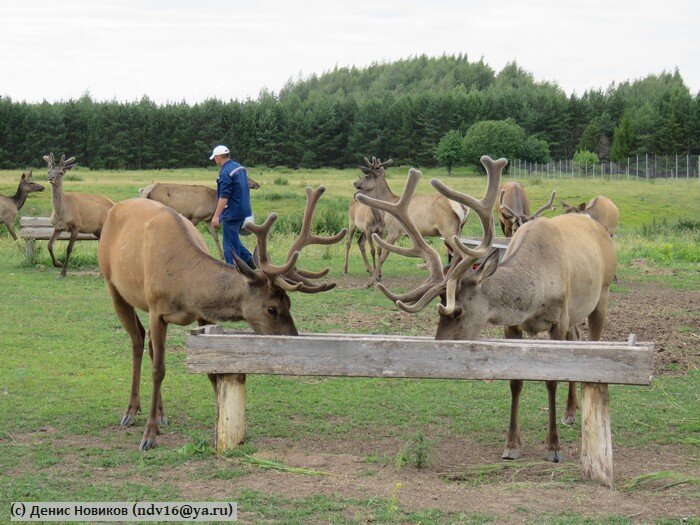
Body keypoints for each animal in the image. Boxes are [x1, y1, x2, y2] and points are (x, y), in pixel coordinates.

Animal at [99, 186, 348, 448]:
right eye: (272, 309)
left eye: (289, 303)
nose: (293, 338)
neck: (185, 285)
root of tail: (115, 207)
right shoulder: (157, 309)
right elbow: (159, 369)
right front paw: (149, 435)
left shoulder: (203, 316)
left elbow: (211, 371)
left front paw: (224, 422)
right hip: (113, 285)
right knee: (137, 340)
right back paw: (131, 411)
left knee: (147, 343)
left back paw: (162, 413)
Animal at [352, 156, 468, 286]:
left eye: (367, 176)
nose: (355, 183)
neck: (389, 203)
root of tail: (463, 207)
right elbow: (425, 257)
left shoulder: (393, 230)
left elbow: (383, 255)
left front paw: (370, 281)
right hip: (459, 229)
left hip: (448, 229)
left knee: (458, 253)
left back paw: (448, 278)